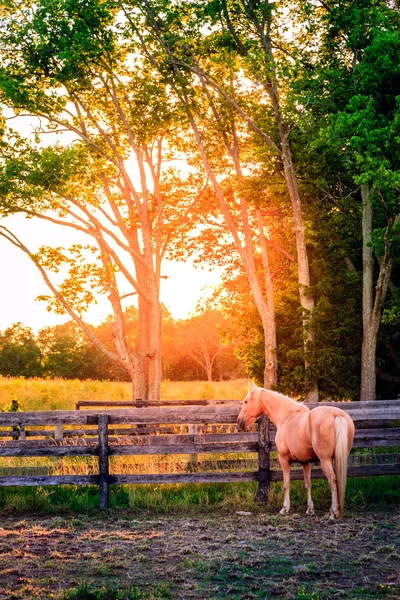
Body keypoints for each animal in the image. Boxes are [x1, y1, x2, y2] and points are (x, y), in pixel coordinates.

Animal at [236, 384, 354, 520]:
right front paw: (310, 509)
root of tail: (336, 415)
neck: (287, 416)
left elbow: (286, 483)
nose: (239, 422)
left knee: (333, 480)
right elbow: (308, 484)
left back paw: (333, 512)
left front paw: (285, 509)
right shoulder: (305, 462)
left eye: (246, 401)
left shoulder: (284, 459)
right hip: (339, 458)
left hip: (325, 460)